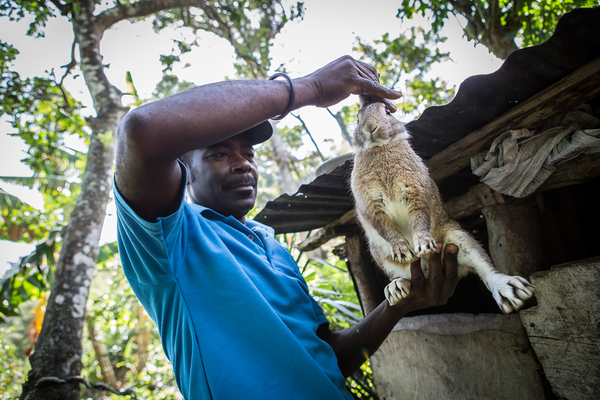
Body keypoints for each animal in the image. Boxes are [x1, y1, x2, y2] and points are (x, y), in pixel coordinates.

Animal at [350, 95, 536, 314]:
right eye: (357, 118)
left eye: (387, 111)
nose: (370, 127)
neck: (380, 149)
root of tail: (426, 271)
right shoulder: (371, 206)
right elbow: (385, 228)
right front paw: (403, 251)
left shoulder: (416, 192)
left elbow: (420, 218)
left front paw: (424, 245)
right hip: (383, 259)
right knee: (403, 276)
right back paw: (396, 288)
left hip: (459, 238)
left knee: (483, 266)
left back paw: (511, 291)